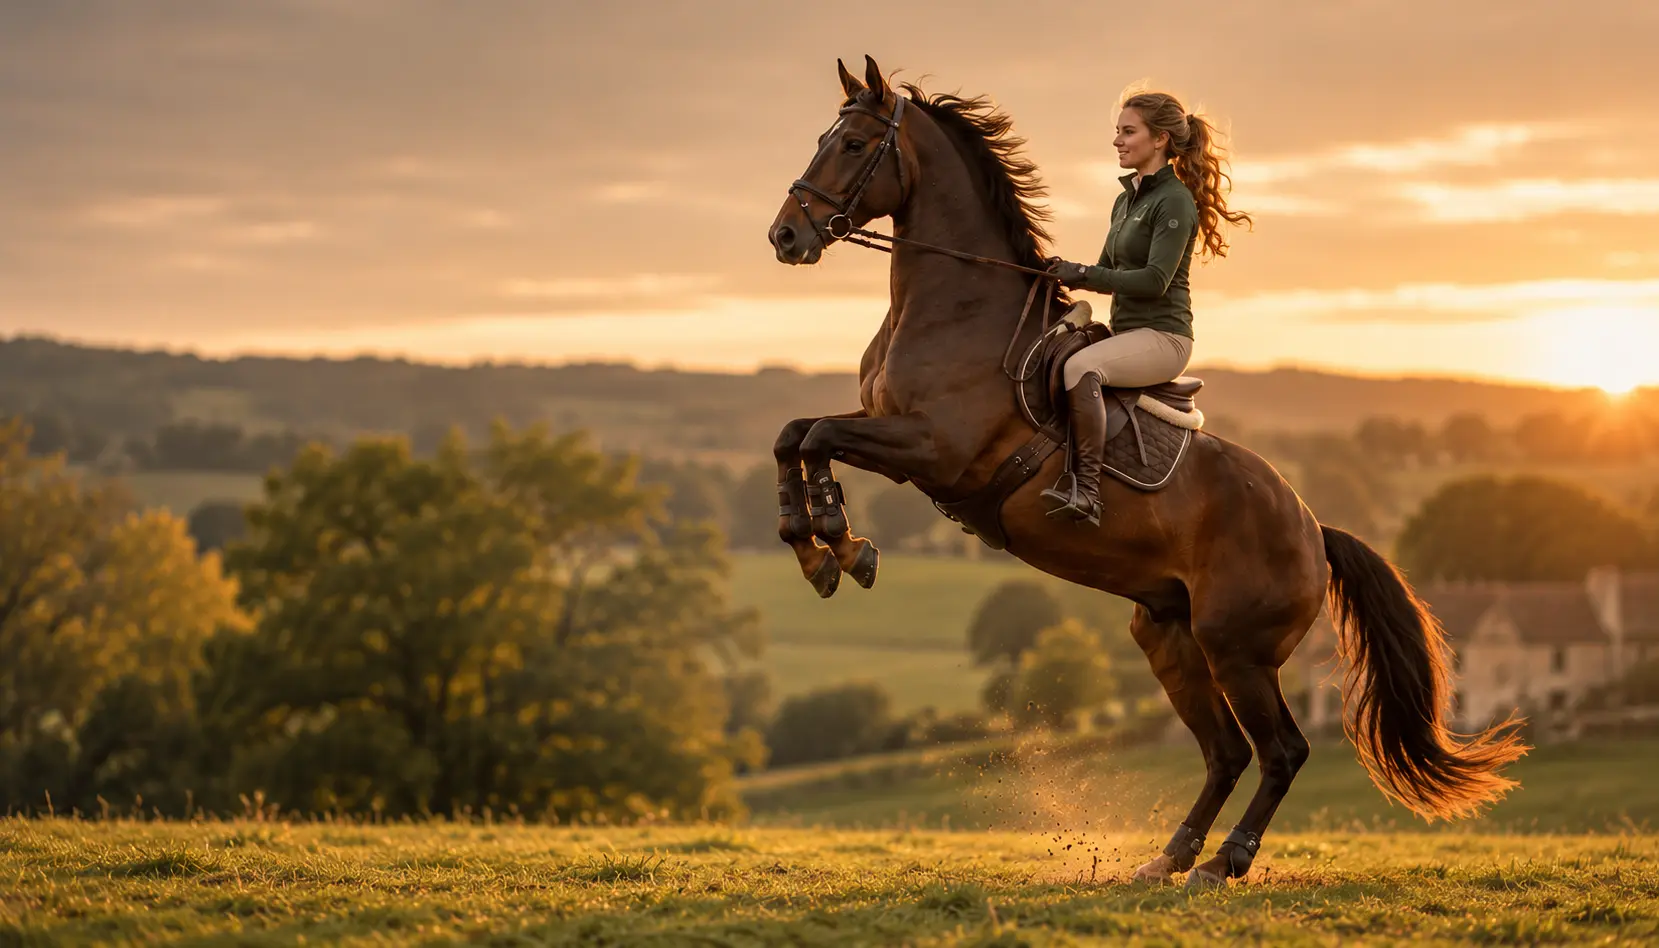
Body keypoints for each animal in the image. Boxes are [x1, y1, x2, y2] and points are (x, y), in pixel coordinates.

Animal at [765, 55, 1526, 886]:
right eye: (821, 138)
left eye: (853, 143)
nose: (785, 235)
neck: (955, 308)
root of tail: (1312, 529)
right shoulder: (889, 433)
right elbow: (794, 434)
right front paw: (816, 549)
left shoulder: (934, 450)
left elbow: (817, 435)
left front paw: (839, 544)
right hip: (1168, 636)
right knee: (1226, 754)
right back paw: (1168, 857)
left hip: (1236, 648)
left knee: (1280, 751)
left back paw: (1223, 861)